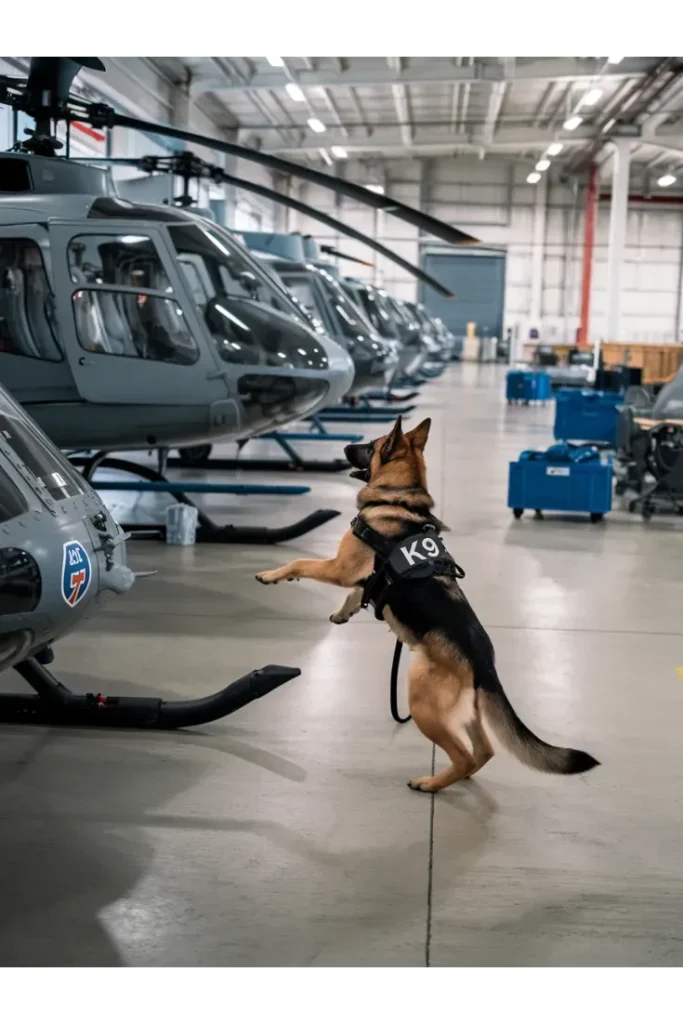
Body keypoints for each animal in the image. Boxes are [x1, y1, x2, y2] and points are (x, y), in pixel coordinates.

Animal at [255, 415, 598, 790]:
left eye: (371, 446)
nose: (345, 446)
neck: (399, 499)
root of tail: (484, 665)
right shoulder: (362, 578)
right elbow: (357, 593)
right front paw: (342, 612)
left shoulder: (340, 568)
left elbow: (301, 563)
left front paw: (272, 574)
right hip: (465, 713)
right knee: (484, 751)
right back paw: (453, 778)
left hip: (421, 704)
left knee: (464, 755)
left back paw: (430, 784)